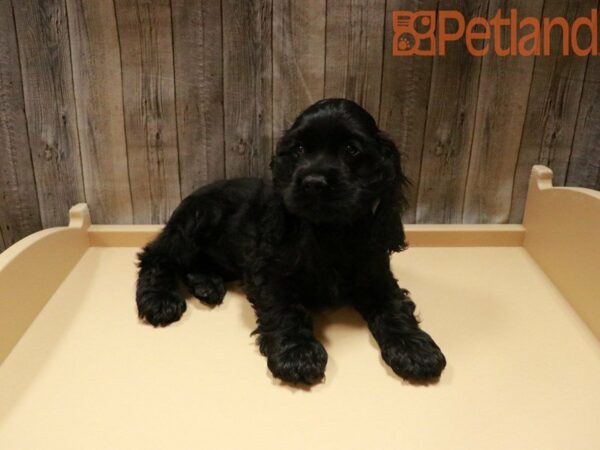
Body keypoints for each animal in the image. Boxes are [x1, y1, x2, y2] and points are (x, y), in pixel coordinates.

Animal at [136, 100, 446, 384]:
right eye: (298, 149)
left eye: (351, 149)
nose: (313, 182)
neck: (329, 231)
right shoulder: (268, 271)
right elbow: (285, 308)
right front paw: (297, 355)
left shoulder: (375, 273)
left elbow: (394, 307)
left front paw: (415, 350)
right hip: (199, 217)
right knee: (156, 255)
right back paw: (160, 300)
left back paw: (206, 283)